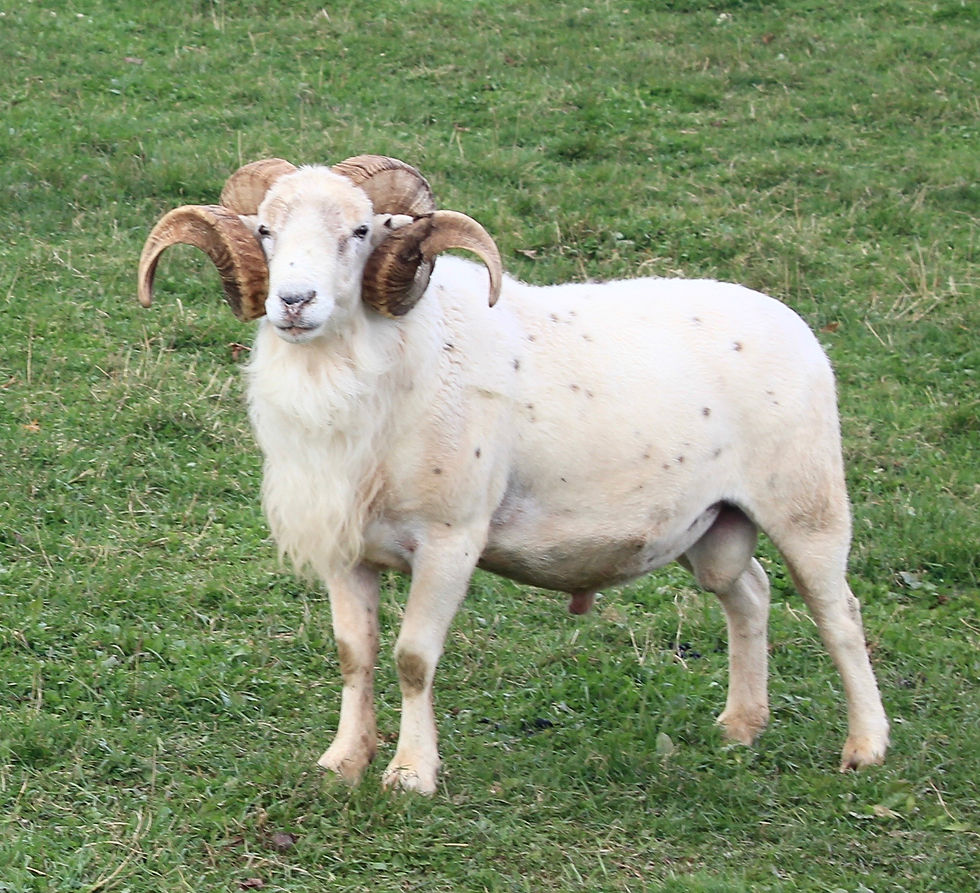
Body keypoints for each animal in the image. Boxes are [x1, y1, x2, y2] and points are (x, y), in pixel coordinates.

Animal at [138, 154, 889, 794]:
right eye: (265, 230)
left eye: (361, 230)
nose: (293, 301)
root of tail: (793, 323)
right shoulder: (347, 549)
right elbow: (356, 654)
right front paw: (343, 761)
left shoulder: (451, 540)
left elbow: (413, 658)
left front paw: (411, 774)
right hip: (714, 524)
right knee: (749, 595)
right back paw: (740, 726)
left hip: (806, 504)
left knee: (839, 615)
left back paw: (866, 748)